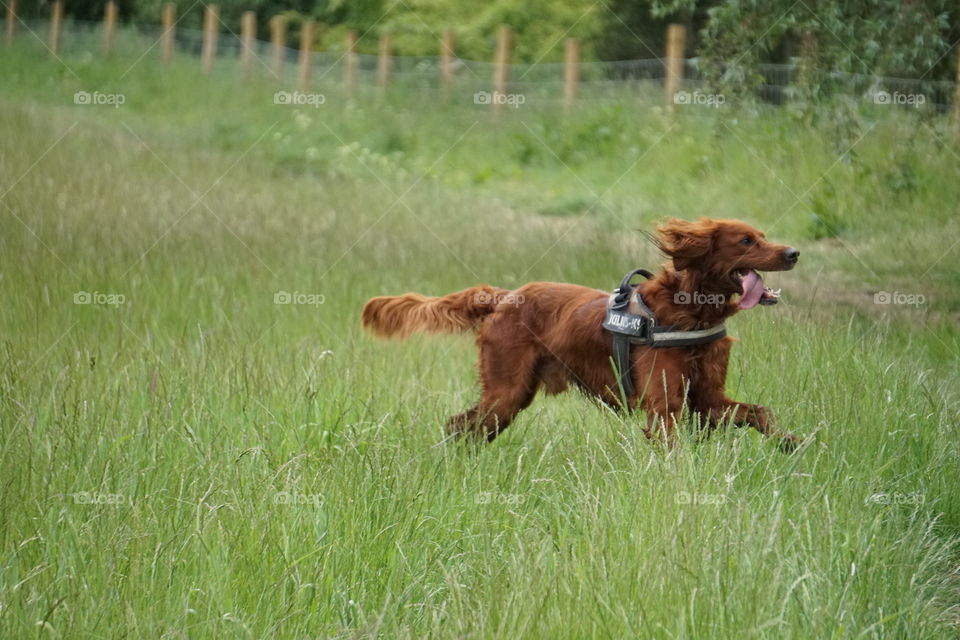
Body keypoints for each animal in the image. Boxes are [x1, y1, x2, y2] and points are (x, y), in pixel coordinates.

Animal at [364, 218, 800, 448]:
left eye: (763, 235)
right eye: (746, 240)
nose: (793, 252)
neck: (689, 310)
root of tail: (505, 296)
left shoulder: (708, 398)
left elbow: (760, 412)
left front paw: (792, 443)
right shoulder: (665, 405)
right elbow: (672, 445)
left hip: (510, 395)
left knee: (465, 426)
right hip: (506, 392)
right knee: (462, 425)